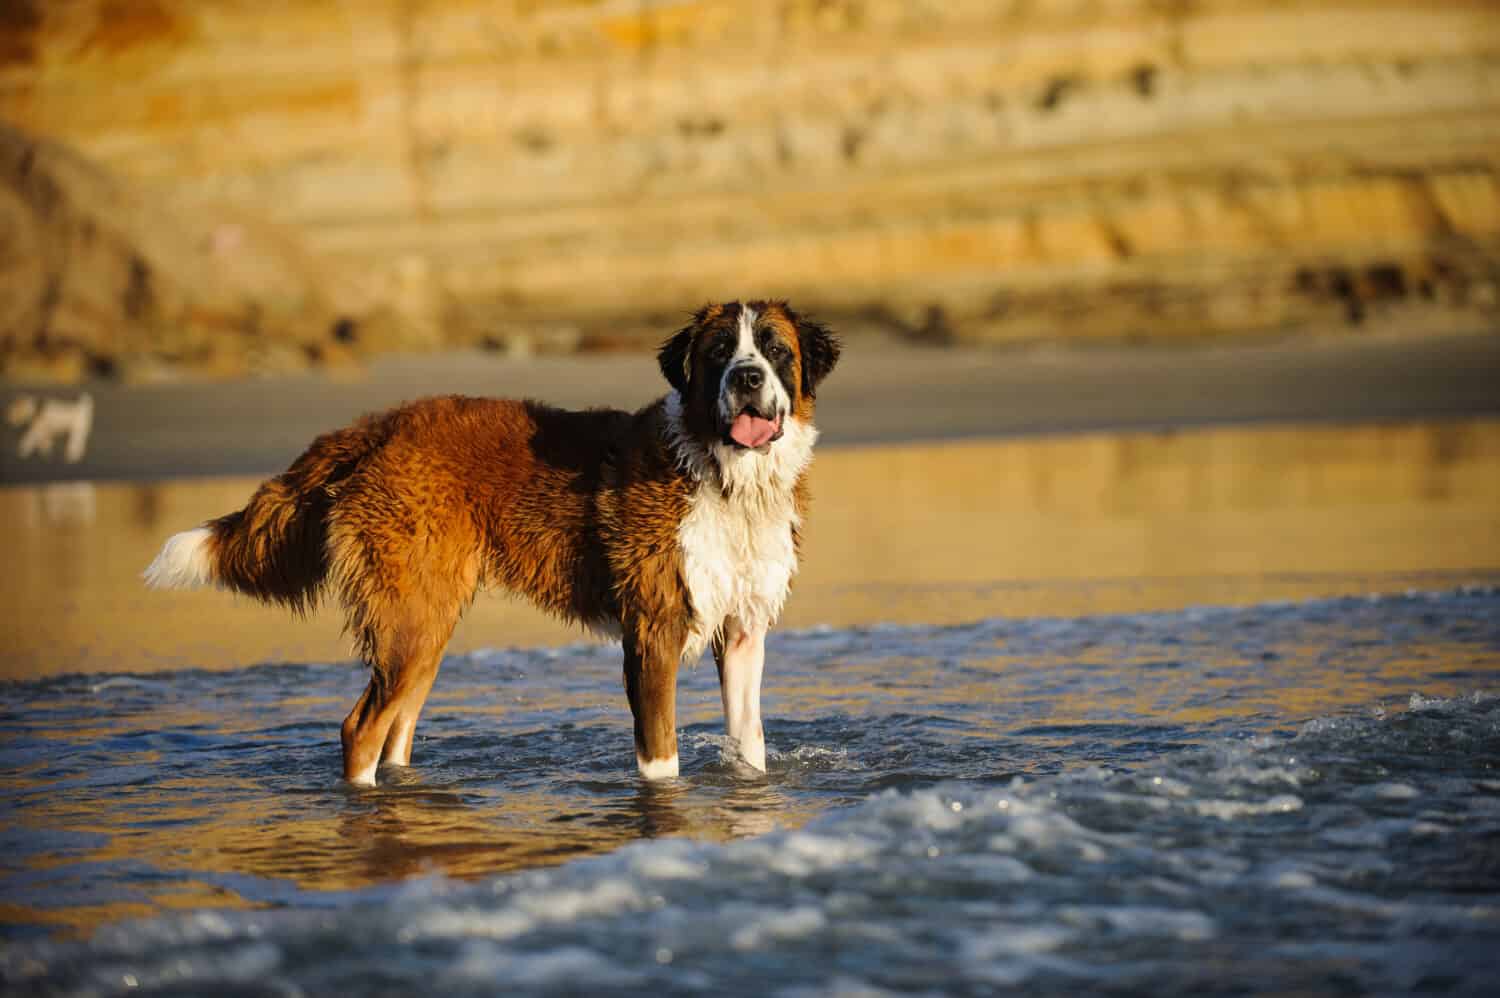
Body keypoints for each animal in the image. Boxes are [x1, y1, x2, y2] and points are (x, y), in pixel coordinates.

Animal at [144, 300, 840, 780]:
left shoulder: (744, 633)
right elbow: (660, 760)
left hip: (422, 624)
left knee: (396, 727)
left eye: (774, 350)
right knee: (359, 729)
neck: (724, 478)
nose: (747, 377)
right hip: (413, 617)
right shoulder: (654, 632)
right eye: (721, 351)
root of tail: (379, 425)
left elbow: (748, 744)